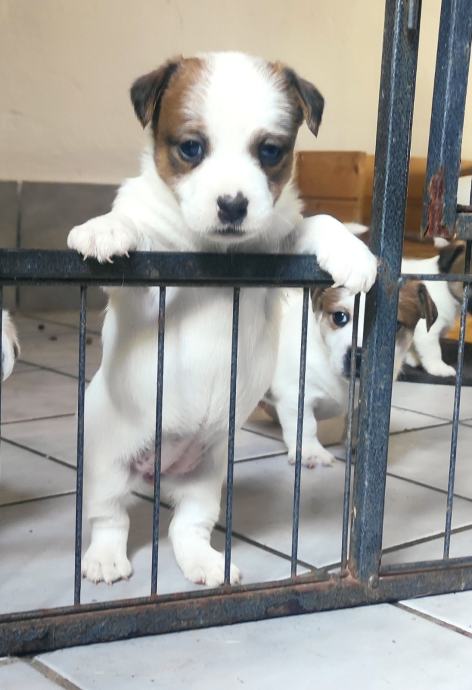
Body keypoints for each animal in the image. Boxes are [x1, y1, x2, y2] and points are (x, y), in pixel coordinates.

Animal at [67, 52, 377, 587]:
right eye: (191, 148)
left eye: (270, 152)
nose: (233, 205)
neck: (215, 251)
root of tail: (159, 474)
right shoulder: (149, 287)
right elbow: (136, 231)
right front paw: (106, 229)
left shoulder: (278, 256)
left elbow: (316, 222)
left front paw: (351, 250)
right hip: (107, 467)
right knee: (110, 517)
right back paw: (106, 559)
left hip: (205, 478)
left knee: (186, 527)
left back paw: (206, 564)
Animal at [265, 280, 437, 467]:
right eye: (339, 317)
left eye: (395, 325)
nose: (360, 355)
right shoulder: (295, 394)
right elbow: (305, 425)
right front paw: (311, 452)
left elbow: (358, 424)